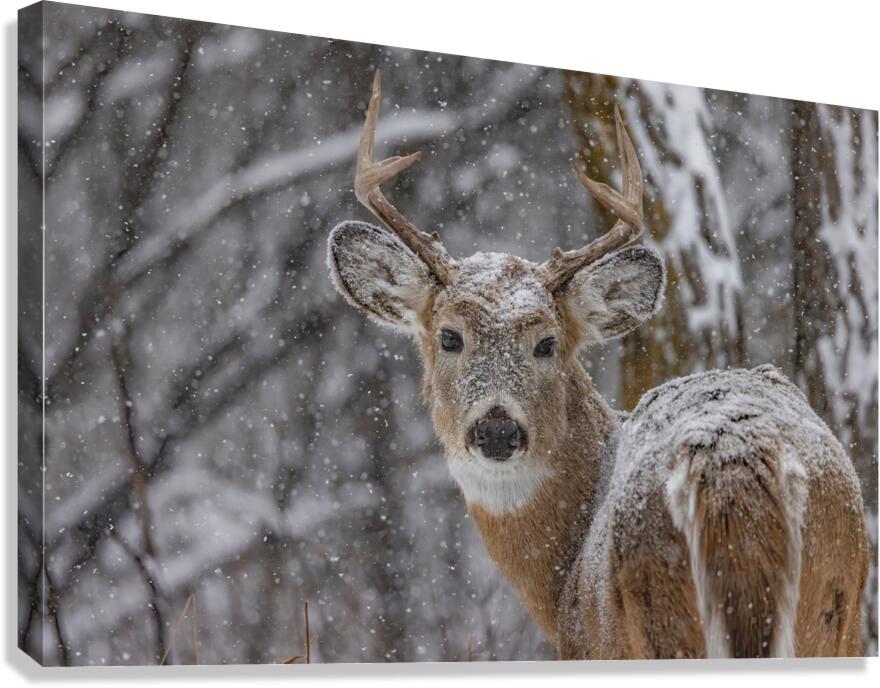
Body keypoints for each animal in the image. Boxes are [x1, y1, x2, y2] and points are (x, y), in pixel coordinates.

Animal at [326, 71, 870, 659]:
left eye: (546, 343)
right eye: (450, 337)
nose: (497, 429)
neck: (562, 571)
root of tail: (733, 467)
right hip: (838, 594)